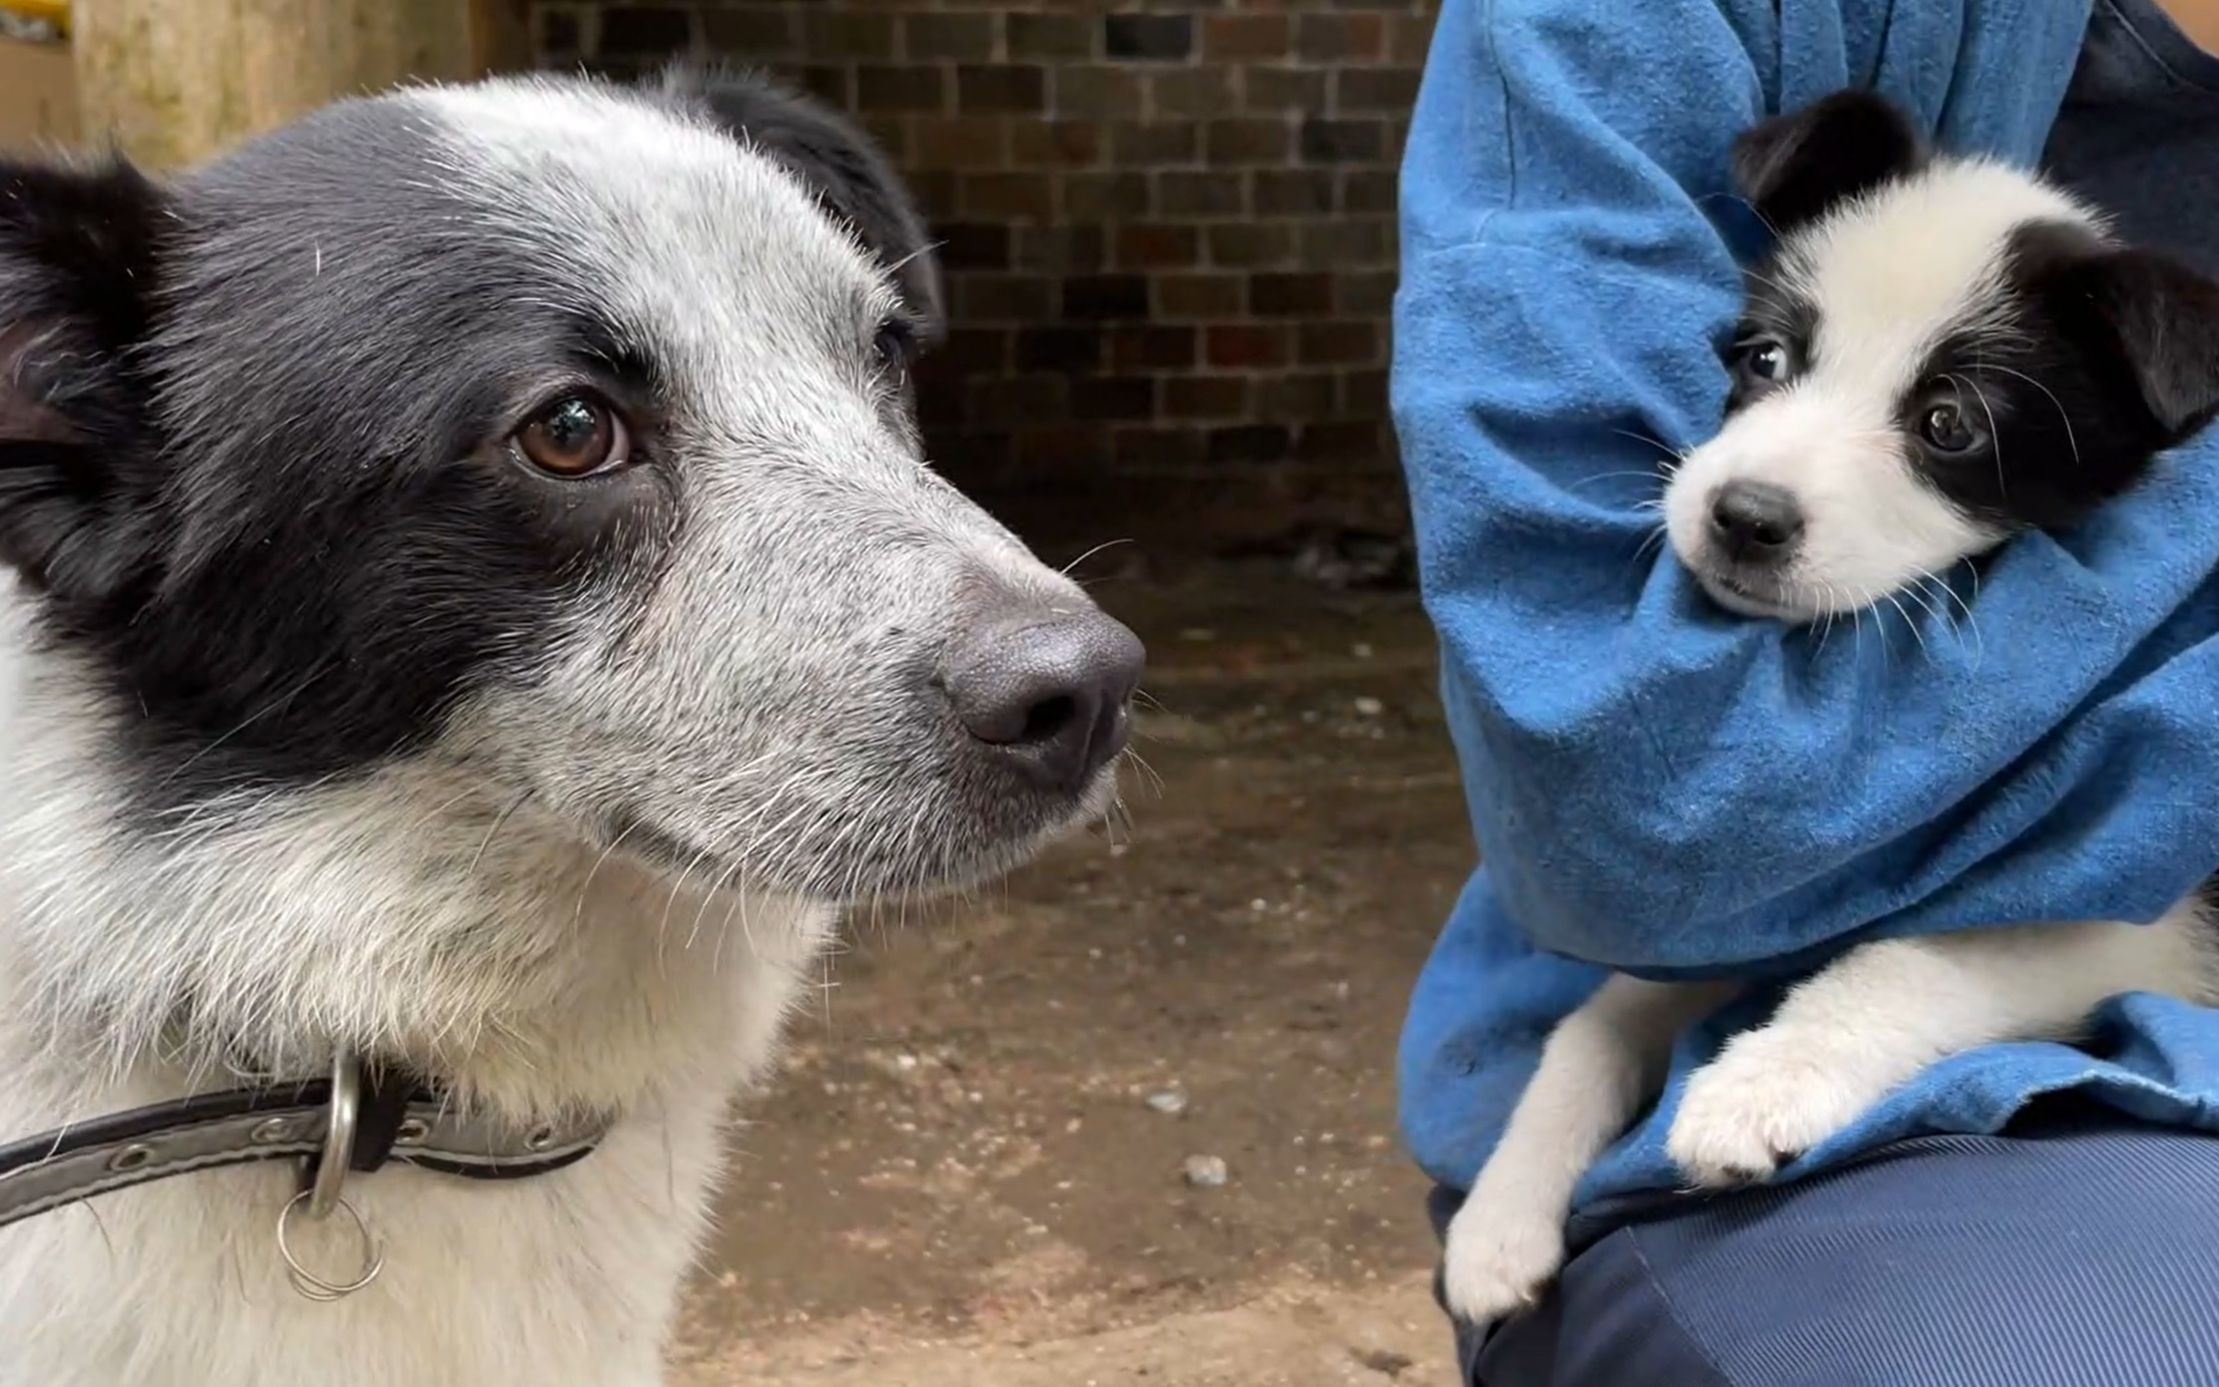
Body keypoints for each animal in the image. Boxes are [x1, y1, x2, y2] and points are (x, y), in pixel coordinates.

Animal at [1446, 92, 2219, 1322]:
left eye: (1948, 423)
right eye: (1765, 356)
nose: (1741, 516)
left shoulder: (2138, 920)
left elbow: (1911, 957)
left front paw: (1761, 1084)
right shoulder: (1765, 907)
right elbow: (1602, 1013)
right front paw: (1504, 1205)